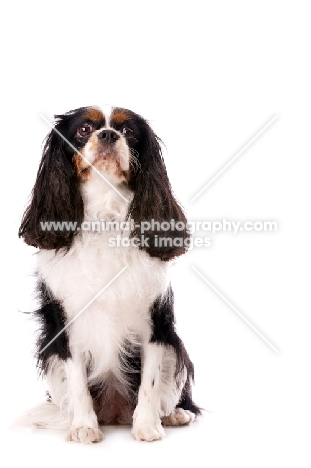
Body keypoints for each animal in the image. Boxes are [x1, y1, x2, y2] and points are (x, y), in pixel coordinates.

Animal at [18, 105, 201, 442]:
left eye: (127, 131)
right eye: (84, 129)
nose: (107, 135)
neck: (106, 213)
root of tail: (115, 414)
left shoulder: (155, 324)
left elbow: (150, 381)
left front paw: (147, 426)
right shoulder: (66, 326)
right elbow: (77, 382)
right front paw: (83, 427)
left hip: (176, 347)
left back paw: (174, 415)